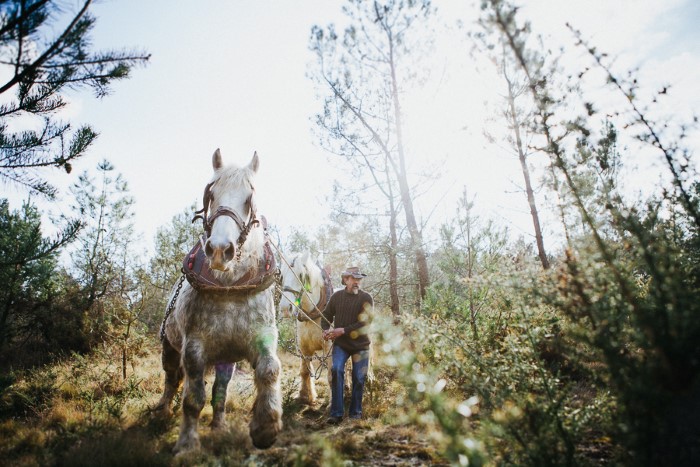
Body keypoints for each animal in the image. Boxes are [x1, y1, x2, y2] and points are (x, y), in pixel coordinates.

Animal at [157, 150, 280, 454]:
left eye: (250, 198)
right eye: (211, 195)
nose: (220, 250)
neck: (230, 287)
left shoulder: (262, 336)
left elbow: (269, 371)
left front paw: (266, 427)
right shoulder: (193, 348)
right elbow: (193, 399)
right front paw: (187, 444)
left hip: (226, 360)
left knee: (220, 390)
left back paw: (219, 425)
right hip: (169, 346)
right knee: (171, 378)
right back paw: (163, 410)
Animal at [278, 252, 334, 406]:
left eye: (301, 274)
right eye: (281, 275)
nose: (285, 309)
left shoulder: (329, 347)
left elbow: (331, 375)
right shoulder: (303, 347)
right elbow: (304, 371)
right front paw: (305, 397)